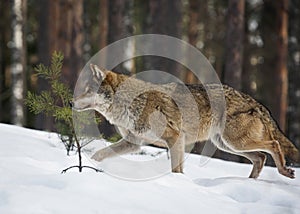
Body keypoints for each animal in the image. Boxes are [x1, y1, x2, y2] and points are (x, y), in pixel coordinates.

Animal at [73, 64, 300, 180]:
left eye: (86, 90)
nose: (69, 102)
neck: (130, 103)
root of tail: (256, 102)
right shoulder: (134, 143)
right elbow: (100, 153)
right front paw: (90, 165)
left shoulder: (175, 138)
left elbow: (176, 169)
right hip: (227, 145)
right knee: (261, 157)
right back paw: (248, 182)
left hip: (235, 143)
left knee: (274, 145)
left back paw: (283, 171)